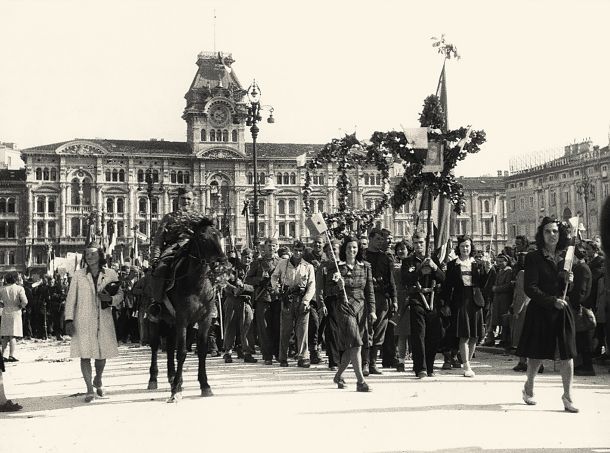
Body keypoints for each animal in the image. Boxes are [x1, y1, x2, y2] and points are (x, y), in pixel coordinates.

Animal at [145, 217, 230, 400]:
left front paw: (204, 385)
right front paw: (176, 390)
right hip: (156, 320)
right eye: (203, 238)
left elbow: (201, 350)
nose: (223, 262)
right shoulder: (182, 319)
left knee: (170, 346)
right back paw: (154, 379)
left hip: (172, 322)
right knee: (155, 346)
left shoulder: (203, 320)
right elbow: (182, 352)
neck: (197, 284)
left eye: (220, 235)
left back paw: (172, 377)